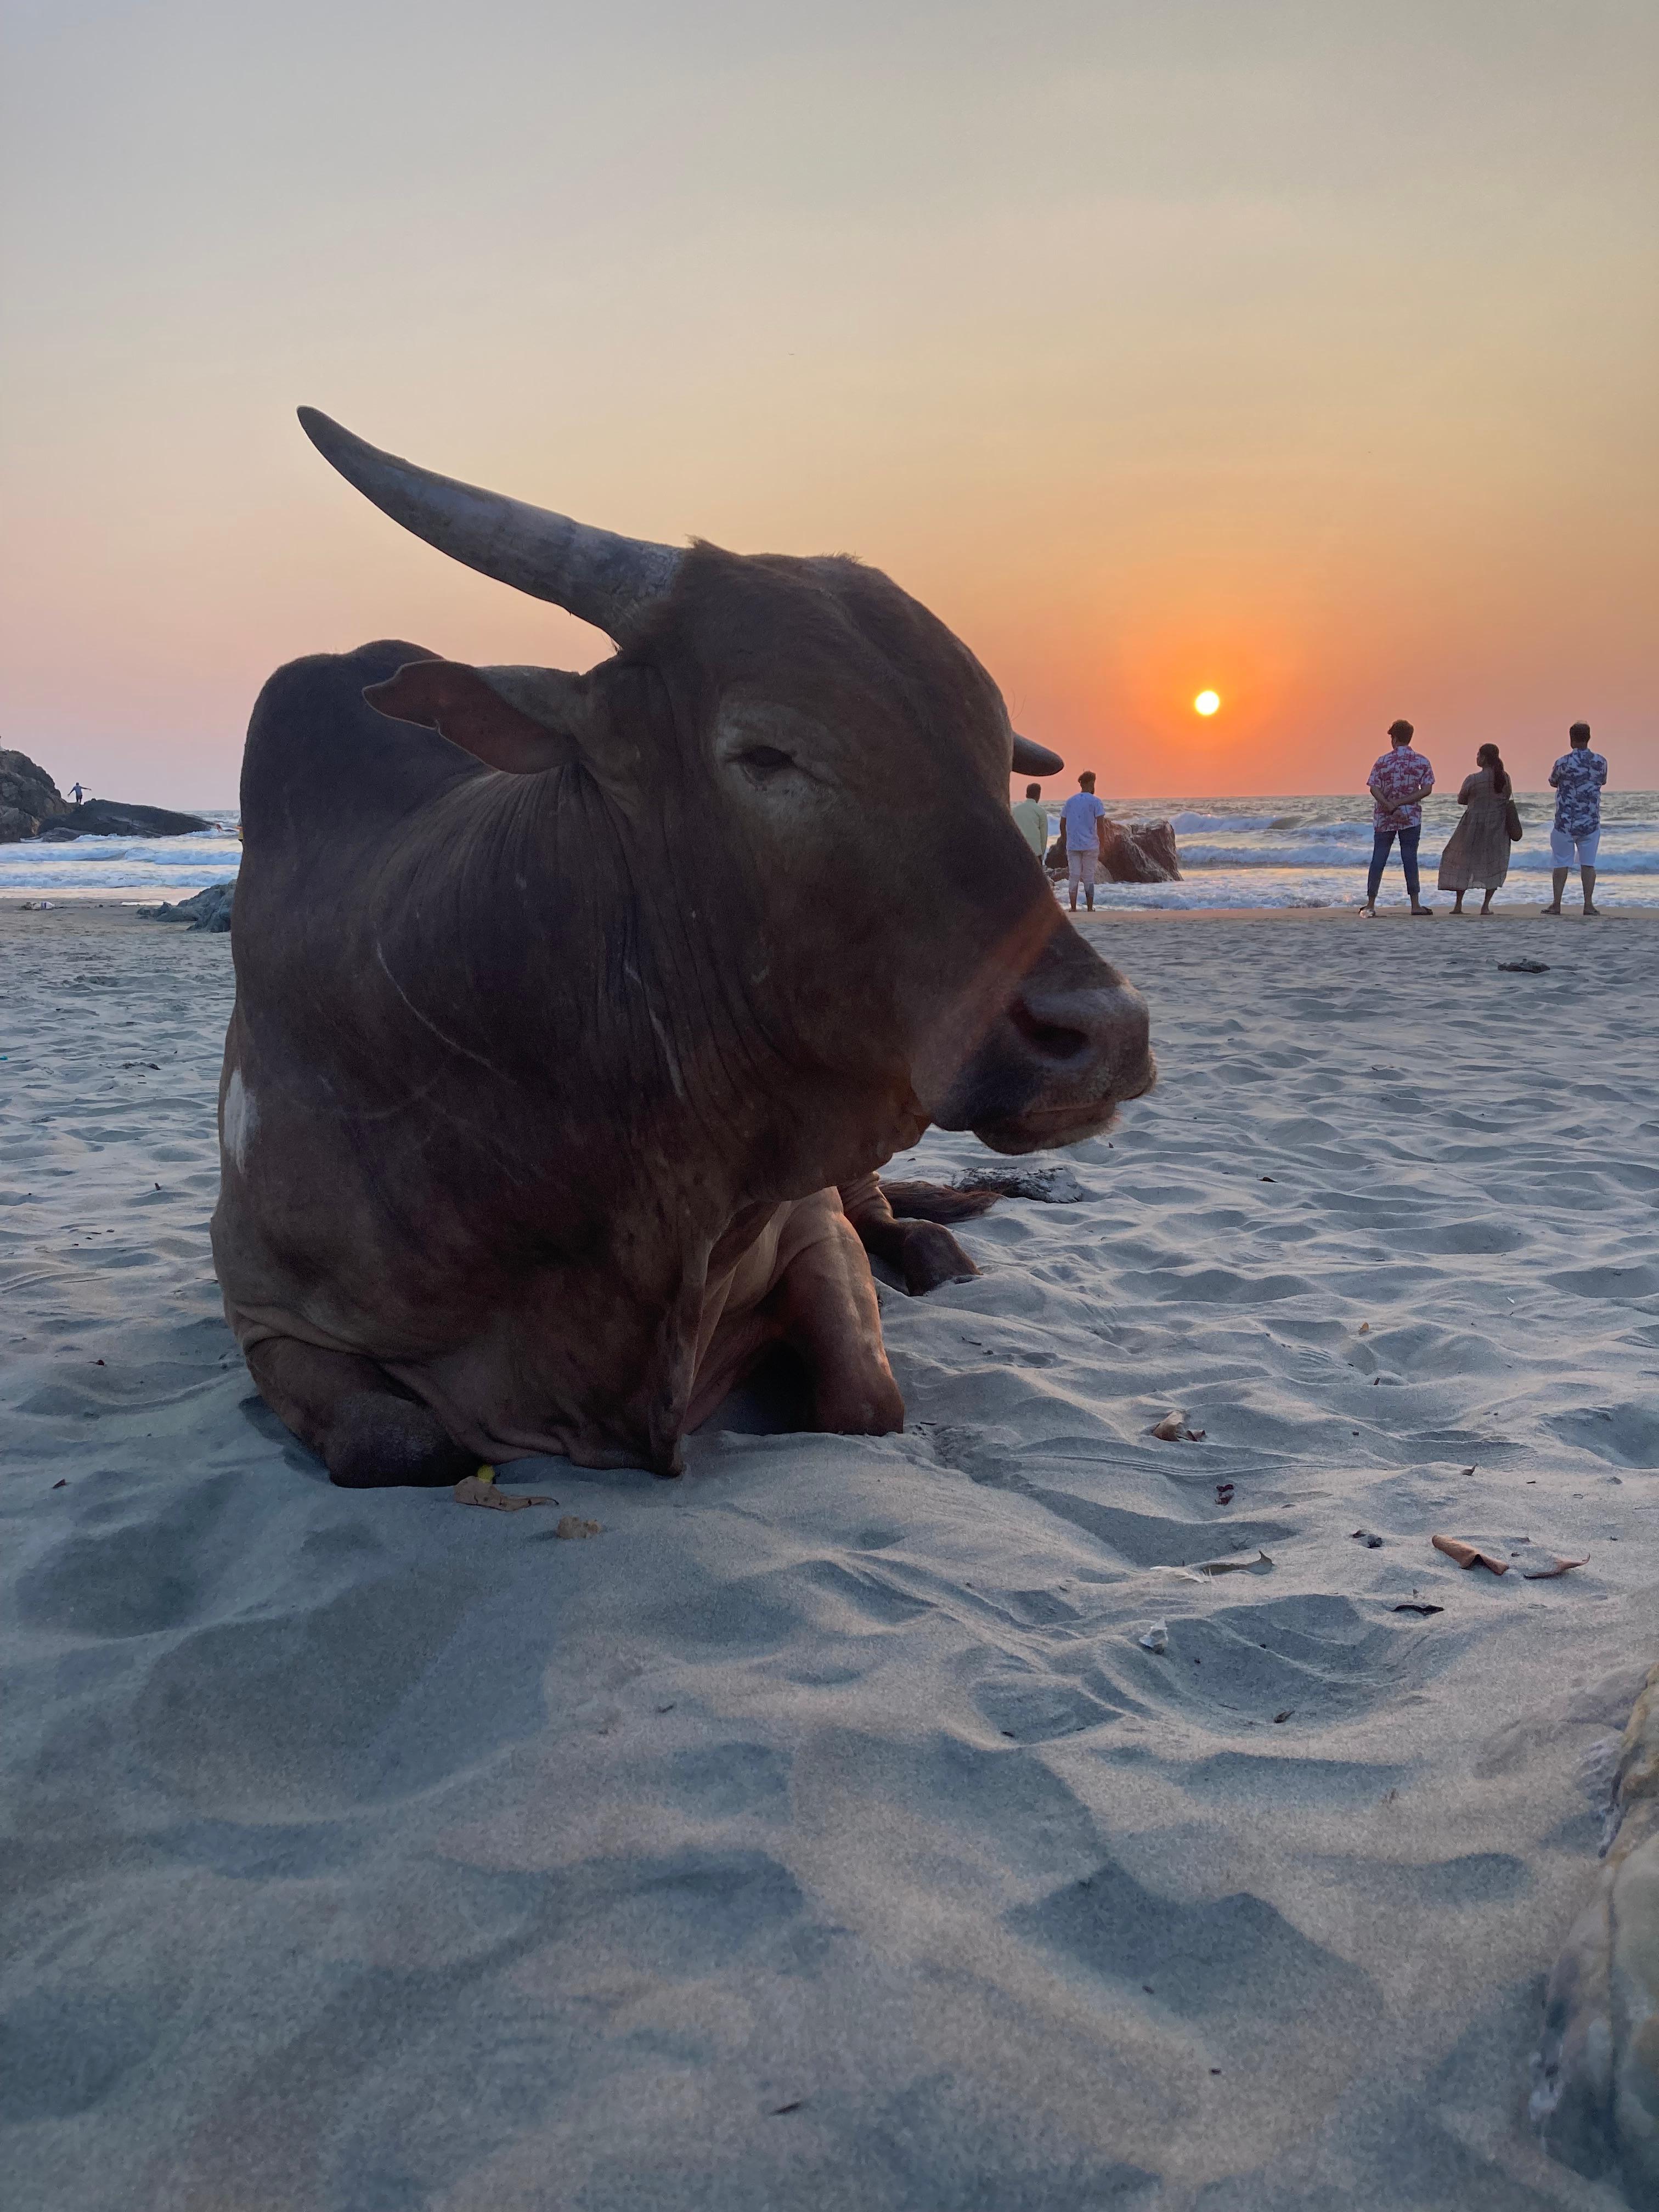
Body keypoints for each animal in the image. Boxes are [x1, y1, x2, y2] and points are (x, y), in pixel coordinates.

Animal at [215, 416, 1159, 1486]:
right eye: (766, 752)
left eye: (995, 750)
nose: (1104, 1035)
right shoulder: (267, 1314)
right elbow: (398, 1441)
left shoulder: (808, 1227)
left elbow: (865, 1400)